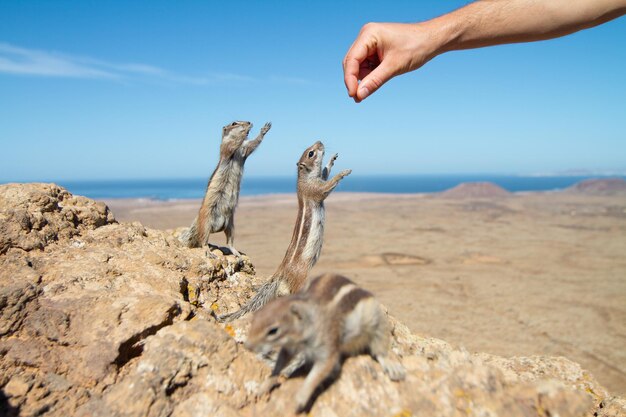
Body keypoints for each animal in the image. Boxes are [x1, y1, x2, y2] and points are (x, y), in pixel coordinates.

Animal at [178, 120, 270, 255]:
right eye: (234, 123)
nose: (249, 122)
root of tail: (216, 228)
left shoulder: (244, 150)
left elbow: (252, 144)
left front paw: (264, 129)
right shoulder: (227, 147)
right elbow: (233, 144)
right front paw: (245, 131)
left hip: (231, 225)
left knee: (229, 242)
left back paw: (236, 253)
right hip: (206, 223)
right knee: (203, 241)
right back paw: (208, 251)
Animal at [216, 141, 352, 322]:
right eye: (311, 153)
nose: (320, 142)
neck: (304, 177)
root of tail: (281, 272)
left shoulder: (318, 180)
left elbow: (325, 173)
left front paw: (332, 160)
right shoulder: (315, 189)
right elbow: (327, 186)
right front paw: (343, 172)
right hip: (301, 277)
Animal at [244, 272, 404, 412]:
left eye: (273, 330)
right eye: (253, 320)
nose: (247, 346)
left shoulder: (327, 346)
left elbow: (317, 374)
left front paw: (299, 400)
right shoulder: (289, 348)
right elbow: (278, 366)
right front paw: (262, 388)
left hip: (376, 320)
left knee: (380, 347)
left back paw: (391, 367)